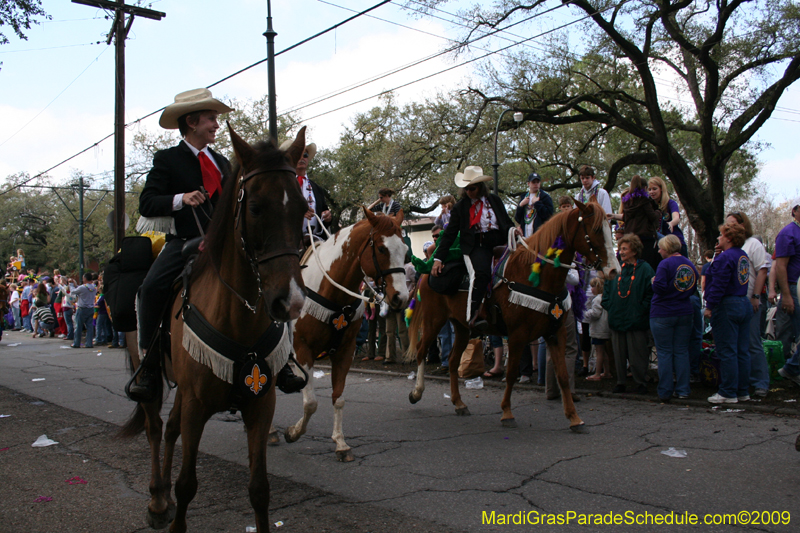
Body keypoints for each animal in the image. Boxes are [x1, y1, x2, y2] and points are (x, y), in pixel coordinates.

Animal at [119, 125, 310, 532]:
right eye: (255, 208)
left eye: (303, 209)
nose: (290, 301)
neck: (238, 319)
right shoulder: (196, 403)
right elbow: (187, 483)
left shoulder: (260, 404)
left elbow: (259, 489)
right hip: (150, 377)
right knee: (155, 428)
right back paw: (157, 500)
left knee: (169, 430)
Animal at [280, 209, 406, 462]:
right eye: (381, 249)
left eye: (405, 249)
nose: (401, 297)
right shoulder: (301, 350)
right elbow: (310, 403)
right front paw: (293, 432)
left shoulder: (345, 352)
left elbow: (338, 398)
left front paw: (340, 443)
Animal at [406, 200, 620, 428]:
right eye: (596, 230)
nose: (614, 270)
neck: (535, 276)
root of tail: (430, 269)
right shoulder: (518, 335)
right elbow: (510, 374)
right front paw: (507, 412)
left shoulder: (555, 333)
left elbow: (562, 375)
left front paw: (574, 417)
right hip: (433, 320)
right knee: (421, 351)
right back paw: (416, 393)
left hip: (462, 326)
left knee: (454, 361)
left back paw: (459, 403)